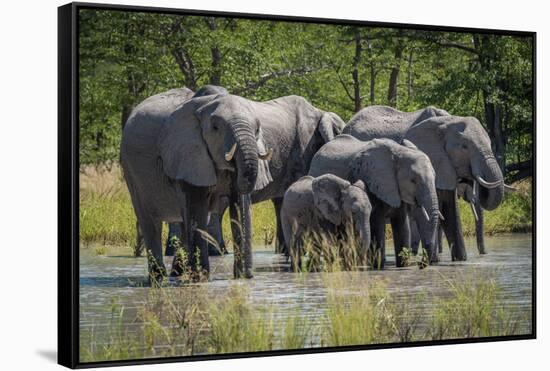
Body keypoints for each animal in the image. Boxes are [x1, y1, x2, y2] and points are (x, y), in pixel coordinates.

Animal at [312, 137, 442, 268]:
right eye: (413, 180)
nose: (420, 264)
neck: (400, 152)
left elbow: (402, 224)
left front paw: (403, 266)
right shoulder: (373, 182)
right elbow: (377, 224)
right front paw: (378, 266)